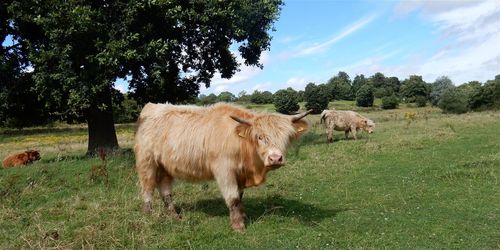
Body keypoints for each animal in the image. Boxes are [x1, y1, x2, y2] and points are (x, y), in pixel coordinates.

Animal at [135, 102, 310, 231]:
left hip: (164, 167)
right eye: (259, 137)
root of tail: (151, 107)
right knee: (147, 188)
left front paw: (242, 216)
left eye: (286, 138)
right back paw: (148, 214)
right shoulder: (224, 171)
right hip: (147, 162)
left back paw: (174, 215)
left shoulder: (240, 174)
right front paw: (238, 226)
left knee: (165, 190)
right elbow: (233, 198)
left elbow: (239, 196)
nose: (275, 158)